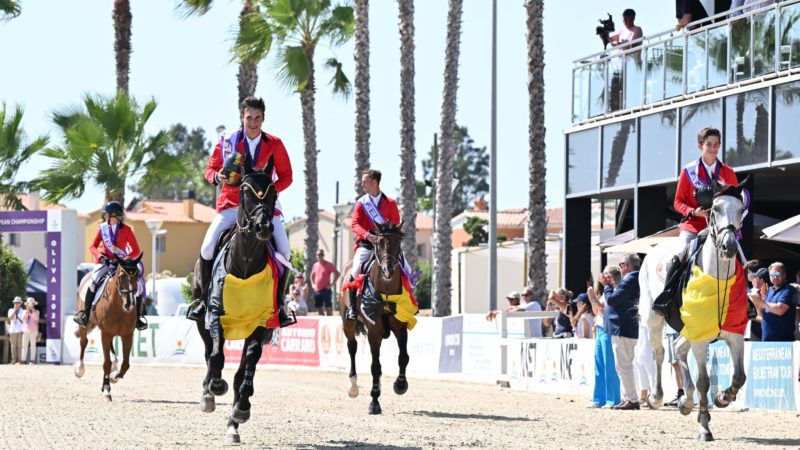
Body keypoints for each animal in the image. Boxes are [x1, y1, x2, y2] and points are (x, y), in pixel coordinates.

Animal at [73, 253, 142, 400]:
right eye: (121, 277)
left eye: (136, 276)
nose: (129, 305)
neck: (119, 306)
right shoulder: (105, 333)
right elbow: (106, 363)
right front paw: (106, 389)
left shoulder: (127, 335)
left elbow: (126, 364)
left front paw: (114, 377)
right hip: (85, 324)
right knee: (84, 342)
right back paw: (80, 369)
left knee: (111, 351)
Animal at [192, 169, 280, 446]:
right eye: (245, 190)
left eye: (273, 192)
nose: (263, 227)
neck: (246, 261)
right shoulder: (215, 315)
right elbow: (216, 355)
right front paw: (214, 387)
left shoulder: (261, 323)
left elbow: (247, 368)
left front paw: (241, 409)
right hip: (201, 320)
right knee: (209, 353)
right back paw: (208, 392)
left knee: (240, 370)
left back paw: (233, 425)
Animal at [340, 221, 416, 414]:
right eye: (379, 243)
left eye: (398, 243)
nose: (388, 271)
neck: (386, 292)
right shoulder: (374, 331)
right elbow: (374, 366)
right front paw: (374, 402)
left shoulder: (400, 327)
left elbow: (403, 357)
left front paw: (400, 385)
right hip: (348, 325)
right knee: (352, 347)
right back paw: (353, 386)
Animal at [636, 178, 752, 440]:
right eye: (715, 208)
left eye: (740, 209)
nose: (729, 247)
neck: (717, 279)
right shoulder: (700, 339)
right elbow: (704, 382)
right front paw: (705, 427)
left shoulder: (735, 335)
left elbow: (739, 377)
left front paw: (722, 398)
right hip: (654, 319)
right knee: (660, 353)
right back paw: (656, 397)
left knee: (678, 349)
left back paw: (685, 402)